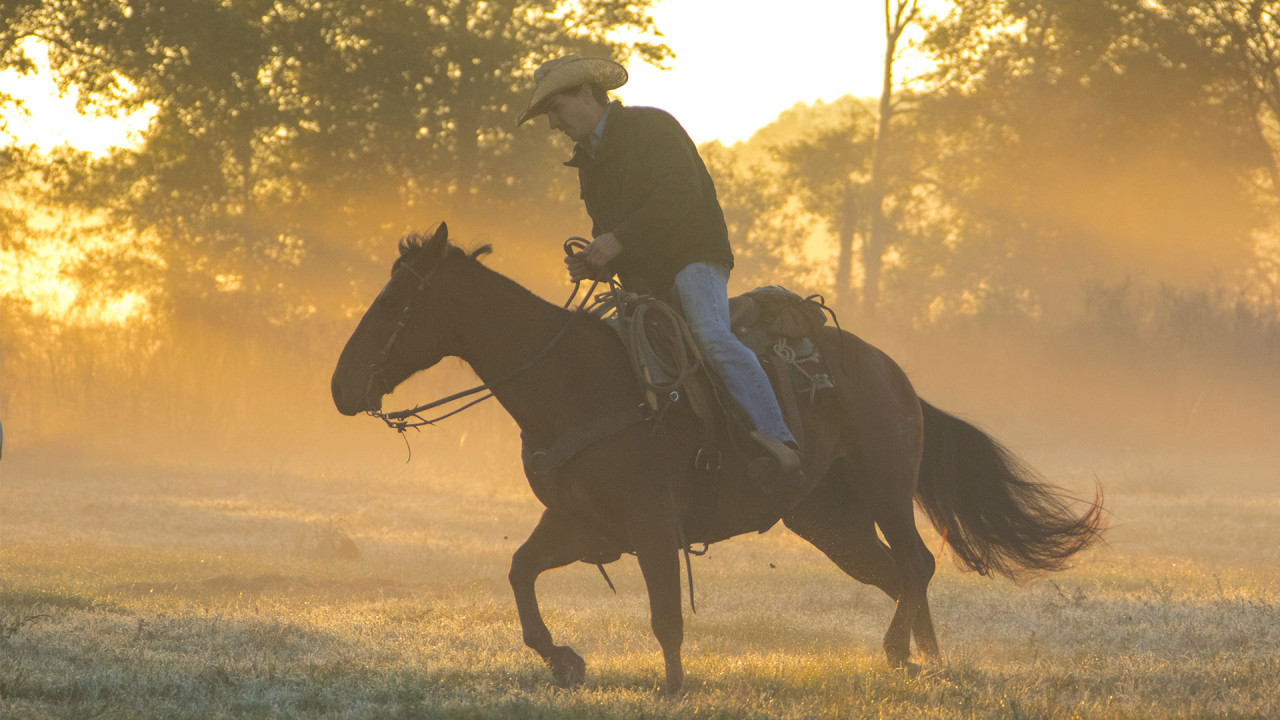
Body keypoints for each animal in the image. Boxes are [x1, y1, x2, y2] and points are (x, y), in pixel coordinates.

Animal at [335, 222, 1105, 691]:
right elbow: (521, 572)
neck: (578, 384)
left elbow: (665, 615)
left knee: (917, 564)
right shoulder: (582, 526)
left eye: (397, 301)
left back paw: (900, 656)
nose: (342, 386)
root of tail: (894, 375)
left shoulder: (652, 524)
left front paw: (673, 689)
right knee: (896, 576)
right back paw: (925, 662)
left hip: (886, 490)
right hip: (829, 521)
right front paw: (565, 660)